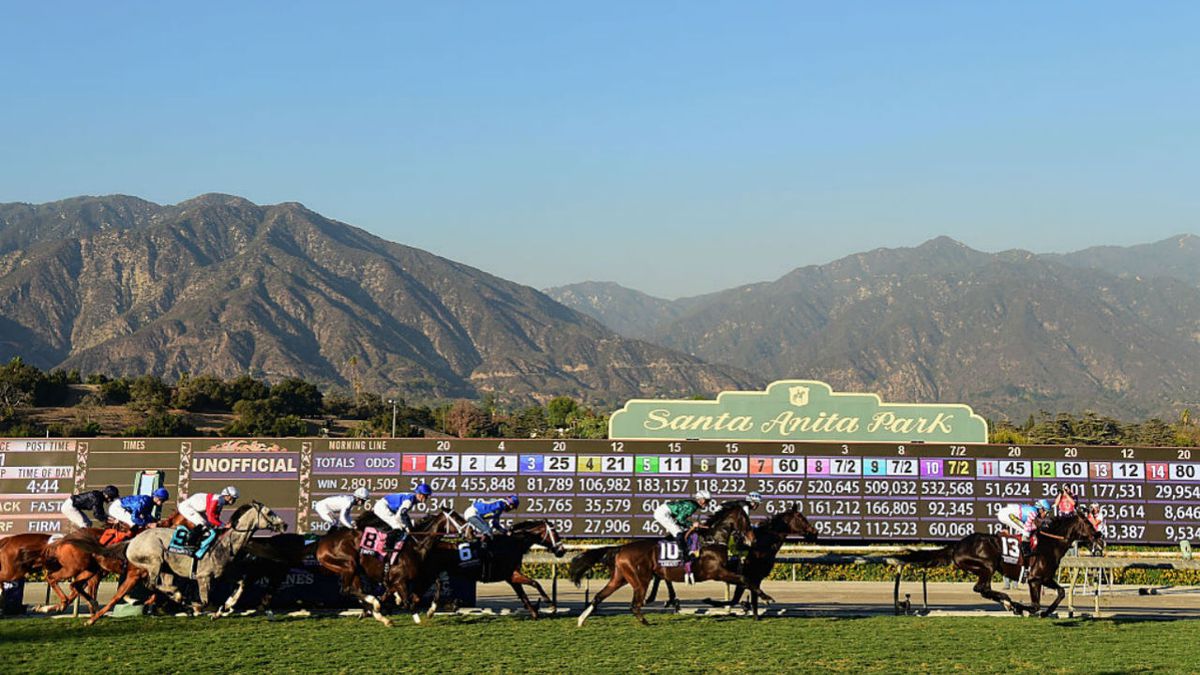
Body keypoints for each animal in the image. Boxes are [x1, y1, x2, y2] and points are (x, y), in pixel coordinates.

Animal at [81, 497, 288, 624]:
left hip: (165, 570)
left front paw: (226, 607)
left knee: (157, 586)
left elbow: (241, 584)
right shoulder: (203, 578)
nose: (284, 524)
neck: (225, 544)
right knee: (151, 585)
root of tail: (132, 540)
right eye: (269, 512)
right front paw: (198, 607)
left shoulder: (223, 575)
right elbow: (205, 601)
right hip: (154, 561)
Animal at [314, 509, 463, 624]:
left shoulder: (420, 576)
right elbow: (407, 600)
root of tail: (322, 544)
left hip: (354, 570)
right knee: (346, 590)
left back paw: (379, 614)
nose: (468, 530)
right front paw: (418, 618)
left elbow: (431, 587)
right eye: (456, 518)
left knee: (357, 590)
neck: (417, 546)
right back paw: (375, 605)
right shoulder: (400, 580)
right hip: (349, 565)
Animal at [417, 516, 566, 619]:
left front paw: (535, 611)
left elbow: (524, 593)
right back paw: (433, 608)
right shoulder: (510, 575)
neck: (513, 542)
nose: (562, 550)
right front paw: (550, 605)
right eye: (555, 532)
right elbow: (535, 584)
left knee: (437, 583)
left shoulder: (512, 575)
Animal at [568, 502, 753, 624]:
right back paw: (644, 621)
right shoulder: (716, 572)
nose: (751, 538)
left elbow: (742, 580)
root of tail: (621, 548)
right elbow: (743, 579)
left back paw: (581, 619)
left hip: (620, 577)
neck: (711, 539)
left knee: (600, 596)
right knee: (634, 604)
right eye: (746, 520)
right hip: (640, 580)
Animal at [897, 504, 1099, 614]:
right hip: (987, 565)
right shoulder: (1034, 579)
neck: (1049, 543)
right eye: (1088, 523)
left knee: (983, 590)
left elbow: (1061, 592)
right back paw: (1009, 602)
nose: (1100, 536)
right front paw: (1021, 607)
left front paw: (1047, 612)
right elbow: (1034, 606)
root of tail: (958, 545)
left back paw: (1007, 602)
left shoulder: (1045, 578)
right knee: (982, 588)